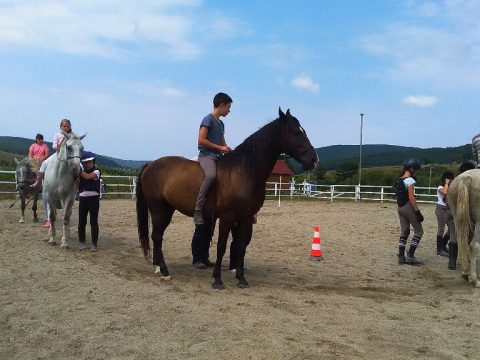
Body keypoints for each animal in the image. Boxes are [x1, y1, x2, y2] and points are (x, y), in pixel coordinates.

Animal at [136, 107, 318, 290]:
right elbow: (221, 247)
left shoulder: (245, 218)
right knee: (157, 236)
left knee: (157, 236)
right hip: (159, 209)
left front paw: (241, 278)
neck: (243, 171)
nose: (314, 159)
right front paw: (218, 280)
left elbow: (240, 247)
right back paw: (164, 271)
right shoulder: (226, 217)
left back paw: (158, 267)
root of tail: (150, 164)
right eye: (296, 132)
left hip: (167, 209)